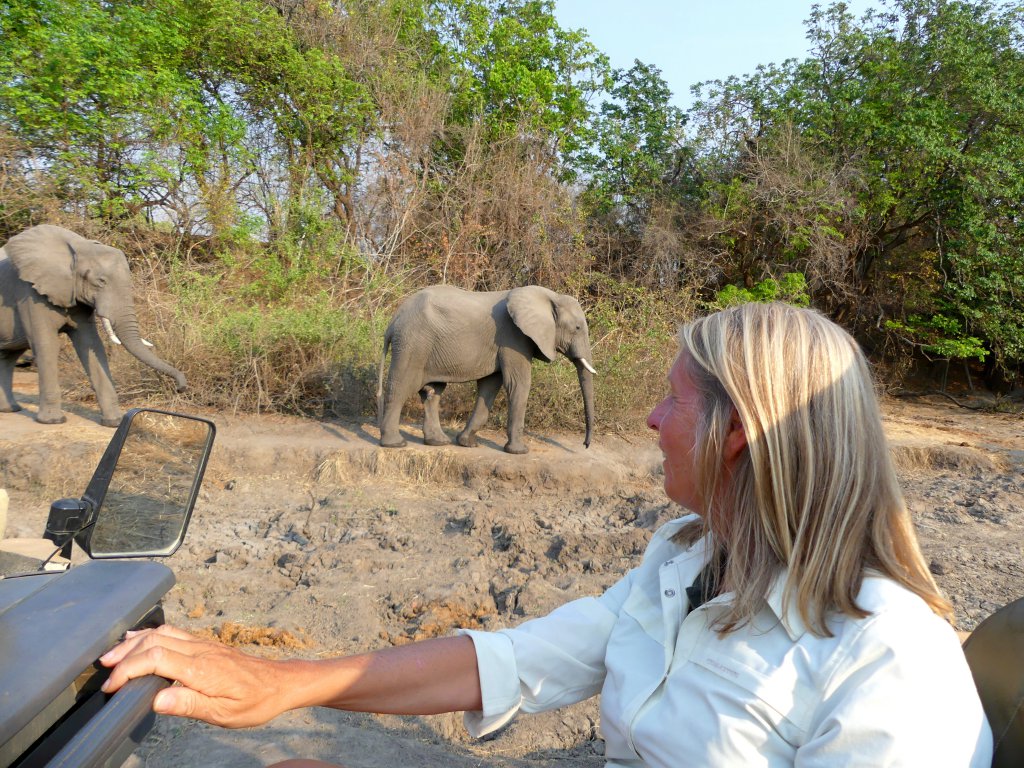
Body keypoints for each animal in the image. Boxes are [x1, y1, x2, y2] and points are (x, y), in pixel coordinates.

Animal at [0, 224, 187, 428]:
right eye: (101, 282)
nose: (181, 388)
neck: (77, 247)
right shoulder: (29, 292)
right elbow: (46, 344)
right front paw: (53, 421)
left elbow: (91, 344)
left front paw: (114, 422)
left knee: (9, 356)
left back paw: (10, 409)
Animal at [376, 284, 598, 454]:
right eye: (577, 328)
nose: (585, 445)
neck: (550, 296)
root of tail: (394, 320)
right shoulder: (513, 337)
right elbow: (518, 384)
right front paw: (519, 452)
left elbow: (491, 385)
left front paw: (467, 444)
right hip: (412, 343)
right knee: (401, 387)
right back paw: (395, 444)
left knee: (433, 391)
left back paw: (437, 442)